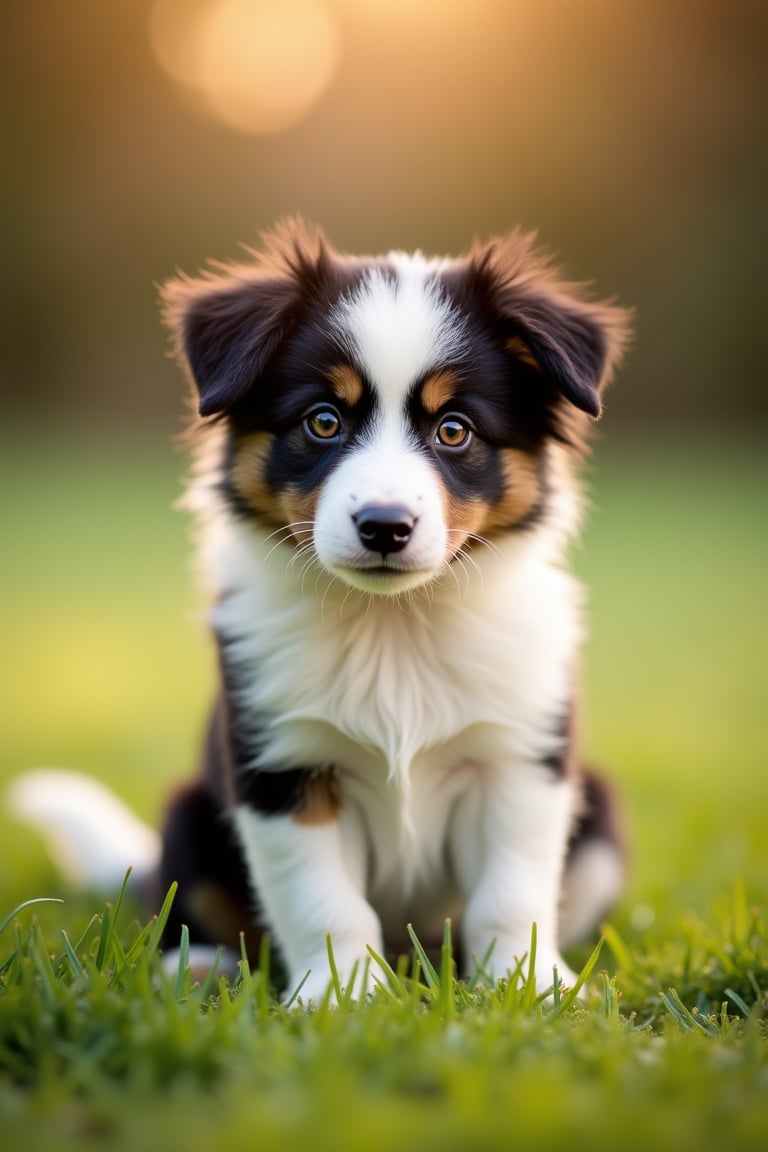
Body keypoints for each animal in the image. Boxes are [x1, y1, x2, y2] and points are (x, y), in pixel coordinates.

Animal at [15, 222, 635, 999]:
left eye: (454, 430)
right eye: (323, 420)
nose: (384, 526)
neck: (392, 624)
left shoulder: (521, 759)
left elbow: (511, 894)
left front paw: (531, 987)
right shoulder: (283, 765)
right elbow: (322, 901)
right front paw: (343, 996)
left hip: (600, 817)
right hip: (189, 813)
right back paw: (199, 964)